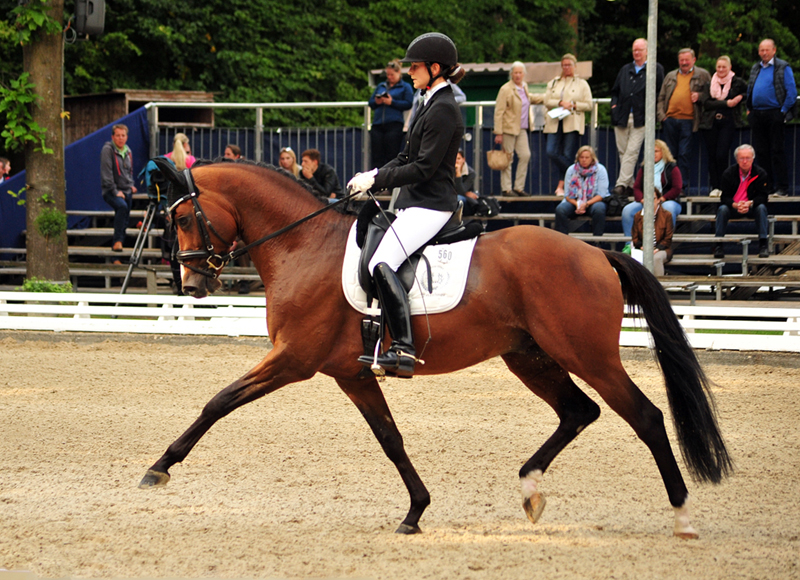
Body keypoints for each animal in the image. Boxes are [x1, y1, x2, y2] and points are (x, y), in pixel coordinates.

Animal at [139, 160, 732, 540]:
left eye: (183, 218)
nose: (192, 285)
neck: (302, 246)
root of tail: (595, 254)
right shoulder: (351, 374)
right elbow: (391, 439)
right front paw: (416, 512)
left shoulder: (293, 360)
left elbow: (219, 401)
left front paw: (159, 467)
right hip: (530, 357)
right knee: (578, 411)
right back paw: (530, 488)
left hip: (589, 356)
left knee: (645, 417)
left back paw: (683, 516)